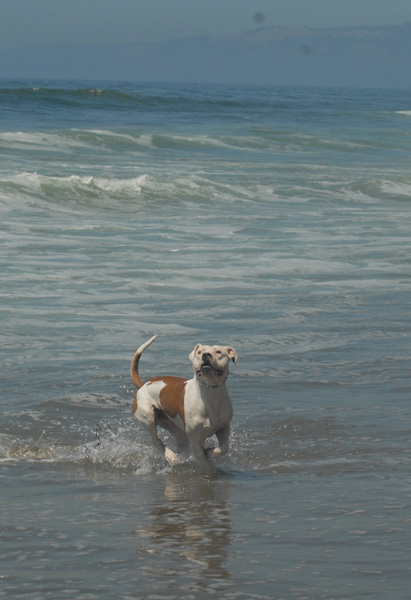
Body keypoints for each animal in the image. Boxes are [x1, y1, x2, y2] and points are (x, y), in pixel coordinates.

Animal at [130, 336, 237, 466]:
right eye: (199, 352)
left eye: (218, 351)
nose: (206, 355)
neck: (210, 392)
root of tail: (143, 385)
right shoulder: (196, 441)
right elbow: (204, 461)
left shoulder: (224, 427)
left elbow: (224, 447)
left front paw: (211, 452)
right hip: (147, 416)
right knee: (155, 440)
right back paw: (169, 455)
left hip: (172, 424)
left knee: (181, 441)